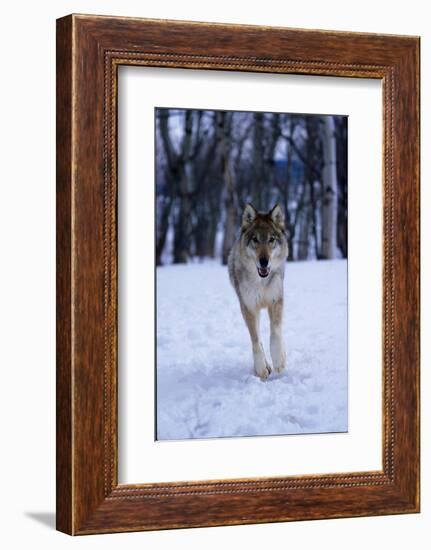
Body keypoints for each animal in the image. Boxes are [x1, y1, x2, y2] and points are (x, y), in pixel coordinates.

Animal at [228, 205, 288, 382]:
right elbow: (255, 340)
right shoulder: (248, 307)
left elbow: (275, 333)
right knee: (258, 336)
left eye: (271, 240)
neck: (261, 282)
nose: (264, 261)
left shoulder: (276, 300)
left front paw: (279, 360)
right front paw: (261, 368)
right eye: (255, 239)